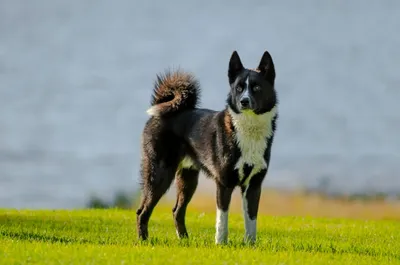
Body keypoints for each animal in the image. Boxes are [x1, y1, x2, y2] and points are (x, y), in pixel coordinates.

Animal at [136, 49, 276, 243]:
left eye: (256, 87)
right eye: (239, 88)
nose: (244, 101)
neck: (248, 127)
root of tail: (159, 110)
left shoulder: (254, 185)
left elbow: (251, 220)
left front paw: (250, 245)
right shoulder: (224, 183)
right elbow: (222, 220)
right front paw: (221, 244)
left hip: (188, 179)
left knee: (177, 211)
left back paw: (184, 240)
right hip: (159, 174)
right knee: (142, 211)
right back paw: (144, 241)